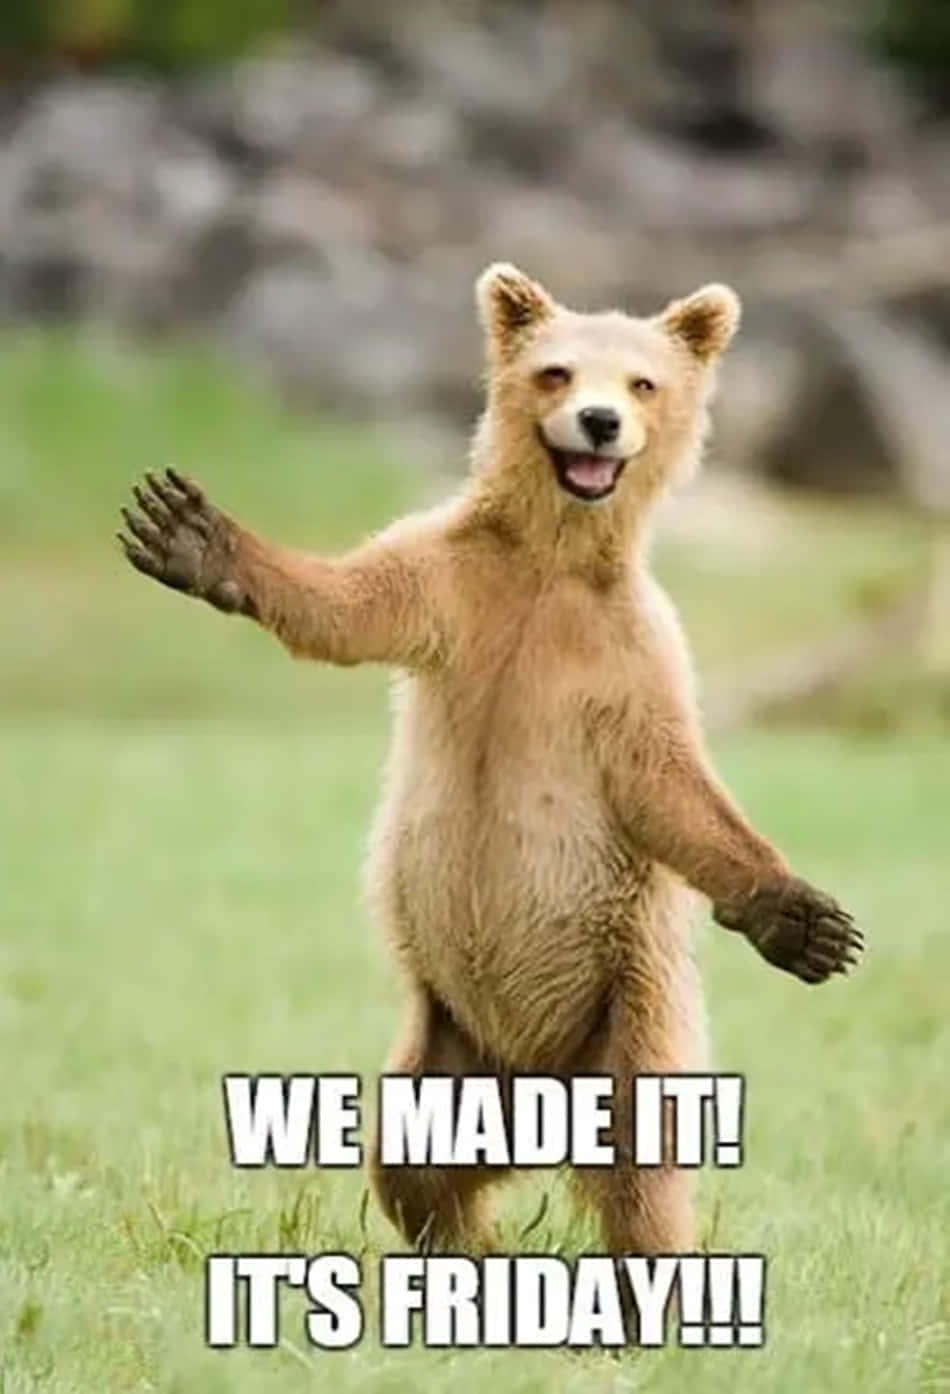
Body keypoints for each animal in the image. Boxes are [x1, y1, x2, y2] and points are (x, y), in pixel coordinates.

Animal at [118, 263, 863, 1259]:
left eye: (642, 382)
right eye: (557, 370)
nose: (599, 422)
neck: (550, 561)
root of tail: (536, 1085)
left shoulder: (629, 652)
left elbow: (668, 782)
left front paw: (808, 923)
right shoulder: (452, 588)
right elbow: (346, 606)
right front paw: (192, 533)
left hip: (626, 1009)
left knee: (641, 1171)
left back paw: (647, 1270)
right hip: (449, 1056)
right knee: (412, 1164)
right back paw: (464, 1245)